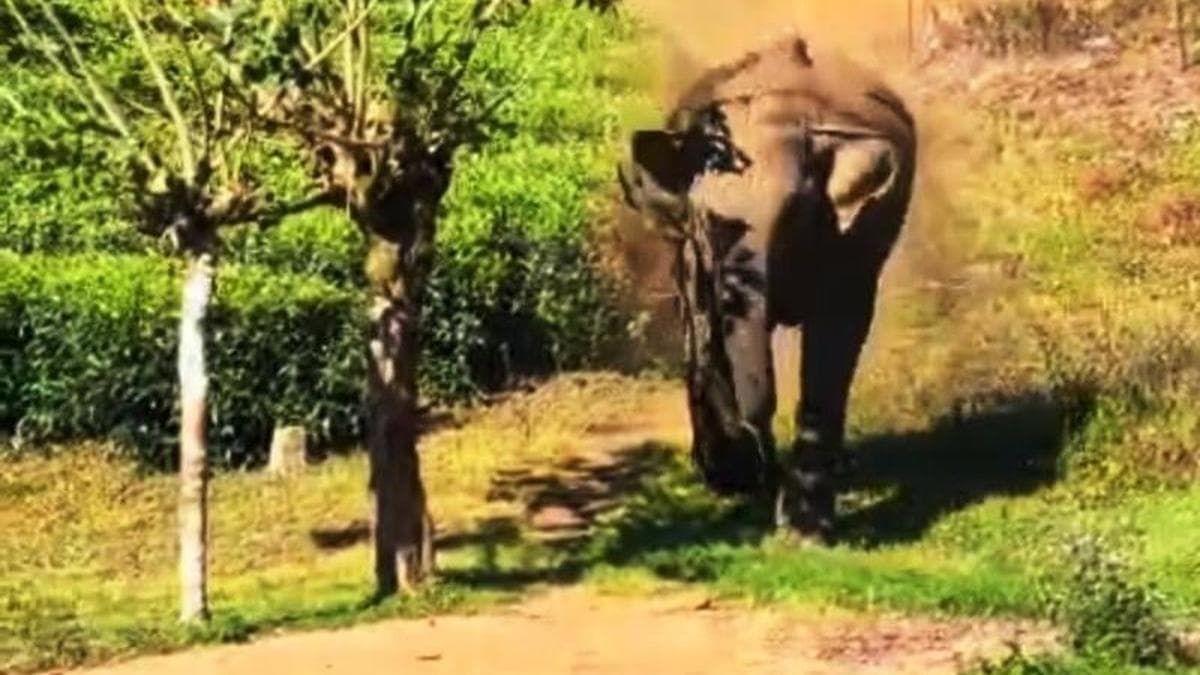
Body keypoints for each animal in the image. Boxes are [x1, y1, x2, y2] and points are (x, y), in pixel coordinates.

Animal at [617, 35, 917, 542]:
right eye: (702, 217)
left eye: (794, 214)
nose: (755, 442)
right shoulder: (692, 251)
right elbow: (702, 321)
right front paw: (734, 478)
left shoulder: (853, 238)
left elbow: (835, 340)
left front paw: (803, 533)